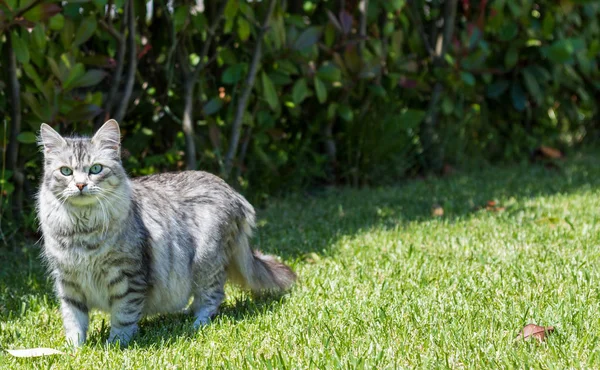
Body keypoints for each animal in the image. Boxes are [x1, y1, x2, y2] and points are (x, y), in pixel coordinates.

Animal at [36, 120, 296, 346]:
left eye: (96, 169)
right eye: (66, 171)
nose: (80, 185)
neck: (82, 230)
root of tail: (234, 193)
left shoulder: (128, 278)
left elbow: (123, 317)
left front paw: (115, 345)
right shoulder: (68, 283)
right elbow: (74, 321)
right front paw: (74, 349)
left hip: (206, 262)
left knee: (213, 297)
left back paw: (197, 324)